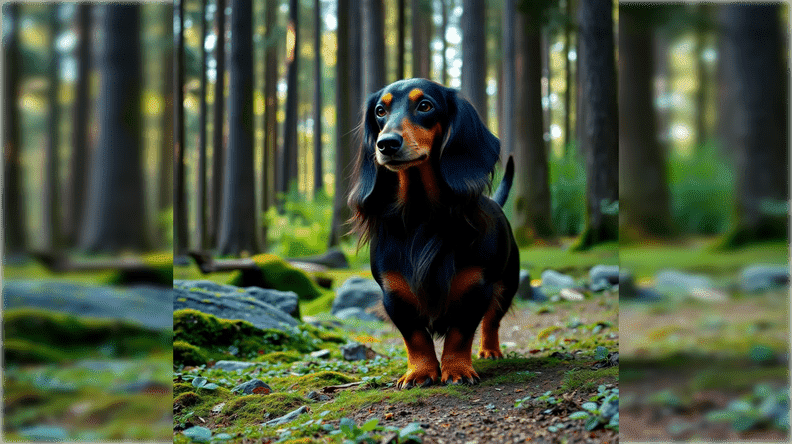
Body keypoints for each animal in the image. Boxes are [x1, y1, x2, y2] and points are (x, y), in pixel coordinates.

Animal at [346, 80, 520, 388]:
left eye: (425, 105)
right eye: (380, 111)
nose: (386, 144)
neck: (420, 214)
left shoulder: (476, 289)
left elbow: (460, 334)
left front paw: (457, 369)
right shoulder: (395, 295)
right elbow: (416, 338)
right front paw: (420, 372)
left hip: (508, 284)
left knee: (492, 320)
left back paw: (490, 350)